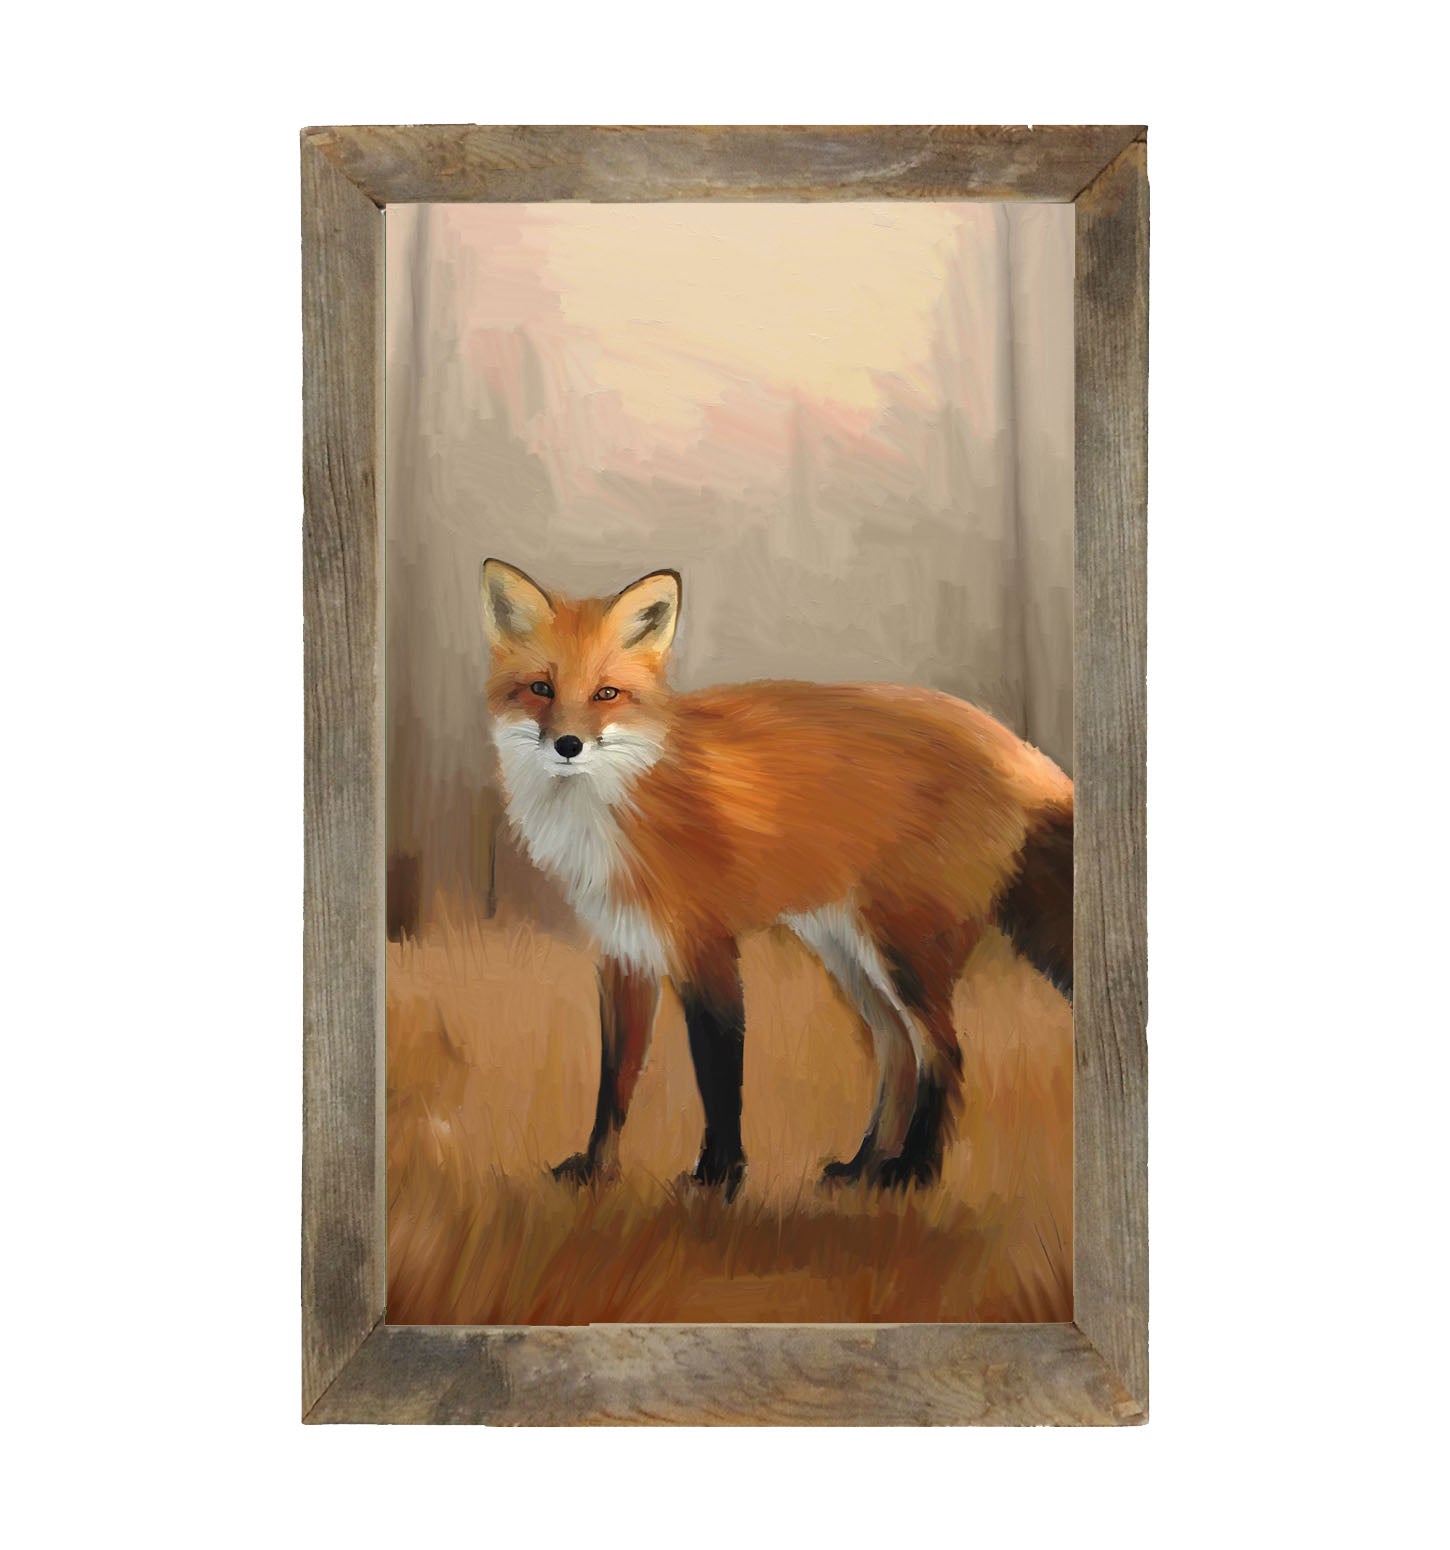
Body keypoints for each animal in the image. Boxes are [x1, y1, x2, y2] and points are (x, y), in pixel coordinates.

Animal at [480, 558, 1073, 1200]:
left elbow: (718, 1073)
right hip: (847, 950)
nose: (568, 745)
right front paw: (596, 1172)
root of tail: (1017, 747)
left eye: (606, 693)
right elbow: (614, 1080)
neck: (621, 799)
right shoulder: (626, 951)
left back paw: (913, 1172)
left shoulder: (706, 946)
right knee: (897, 1050)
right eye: (541, 689)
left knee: (944, 1053)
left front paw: (719, 1179)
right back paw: (863, 1167)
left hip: (903, 950)